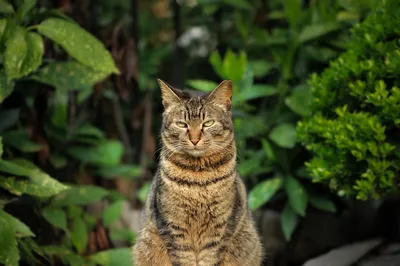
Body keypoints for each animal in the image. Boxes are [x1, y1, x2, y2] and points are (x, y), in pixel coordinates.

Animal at [133, 79, 264, 266]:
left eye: (208, 123)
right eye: (182, 124)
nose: (194, 139)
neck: (198, 178)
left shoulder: (218, 229)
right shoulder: (175, 228)